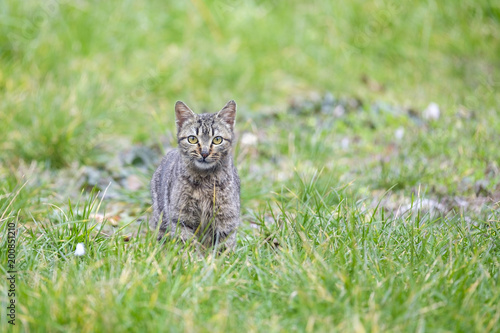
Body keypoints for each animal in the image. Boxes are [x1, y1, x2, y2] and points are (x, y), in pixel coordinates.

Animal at [149, 99, 241, 249]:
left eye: (217, 139)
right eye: (192, 139)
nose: (204, 153)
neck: (205, 179)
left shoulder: (226, 218)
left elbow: (224, 246)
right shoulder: (182, 217)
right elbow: (186, 242)